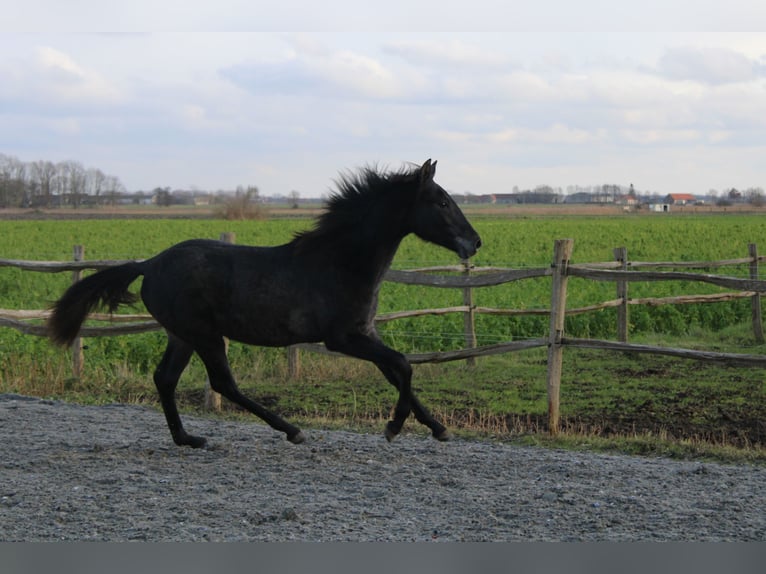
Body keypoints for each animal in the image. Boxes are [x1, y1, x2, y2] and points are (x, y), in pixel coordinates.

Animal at [48, 161, 484, 450]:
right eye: (442, 202)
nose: (475, 242)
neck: (341, 262)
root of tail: (150, 264)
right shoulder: (343, 338)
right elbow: (404, 366)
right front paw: (394, 426)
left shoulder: (364, 333)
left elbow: (397, 372)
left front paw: (437, 427)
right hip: (203, 334)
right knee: (222, 383)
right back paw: (291, 429)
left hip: (182, 335)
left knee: (165, 379)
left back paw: (188, 438)